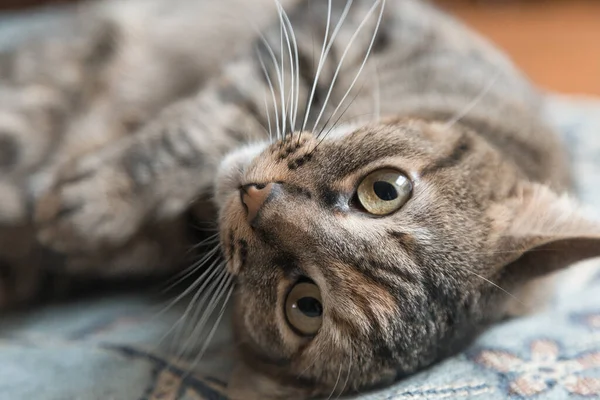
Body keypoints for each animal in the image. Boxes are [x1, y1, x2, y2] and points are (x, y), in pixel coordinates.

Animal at [1, 0, 600, 398]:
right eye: (385, 189)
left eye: (305, 306)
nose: (256, 198)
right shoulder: (343, 27)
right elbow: (213, 120)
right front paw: (101, 195)